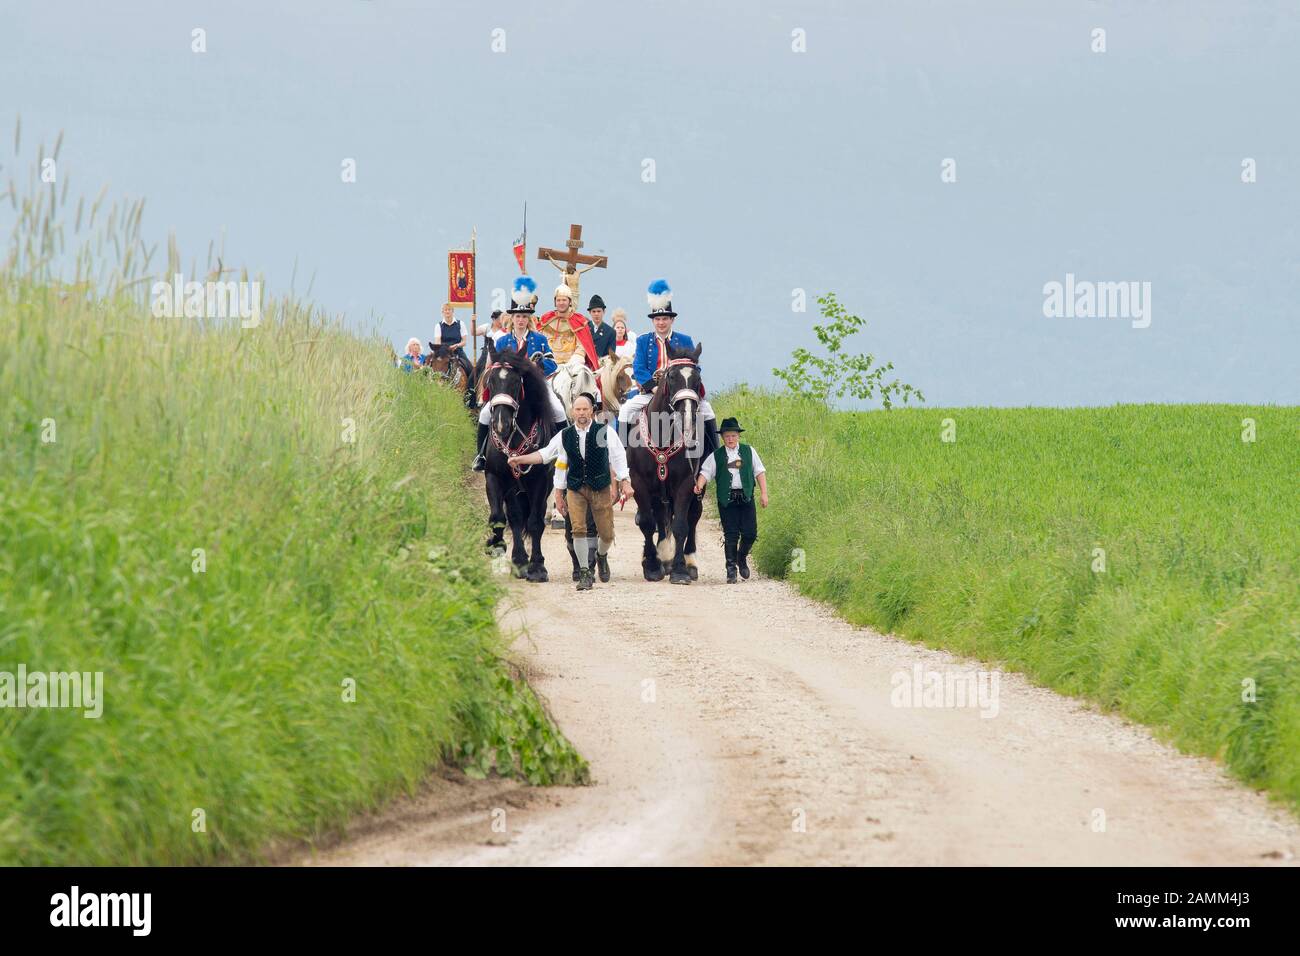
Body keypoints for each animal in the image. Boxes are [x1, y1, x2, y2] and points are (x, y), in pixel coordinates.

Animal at [480, 343, 556, 582]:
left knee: (536, 516)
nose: (500, 424)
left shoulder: (540, 480)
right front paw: (497, 546)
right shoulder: (495, 477)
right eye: (490, 381)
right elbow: (501, 516)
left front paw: (537, 567)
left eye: (516, 382)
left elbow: (534, 522)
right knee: (515, 516)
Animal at [626, 343, 707, 582]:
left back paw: (688, 562)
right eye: (671, 376)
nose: (687, 415)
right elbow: (647, 522)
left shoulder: (686, 483)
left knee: (693, 517)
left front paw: (680, 570)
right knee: (659, 519)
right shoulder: (638, 483)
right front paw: (652, 566)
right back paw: (662, 557)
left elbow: (681, 525)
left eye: (698, 378)